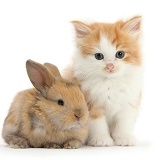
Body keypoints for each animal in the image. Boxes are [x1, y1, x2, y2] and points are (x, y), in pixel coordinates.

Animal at [65, 15, 142, 146]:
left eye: (120, 54)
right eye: (99, 56)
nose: (110, 66)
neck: (110, 83)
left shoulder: (128, 102)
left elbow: (124, 123)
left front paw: (124, 138)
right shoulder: (91, 104)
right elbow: (98, 124)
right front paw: (102, 140)